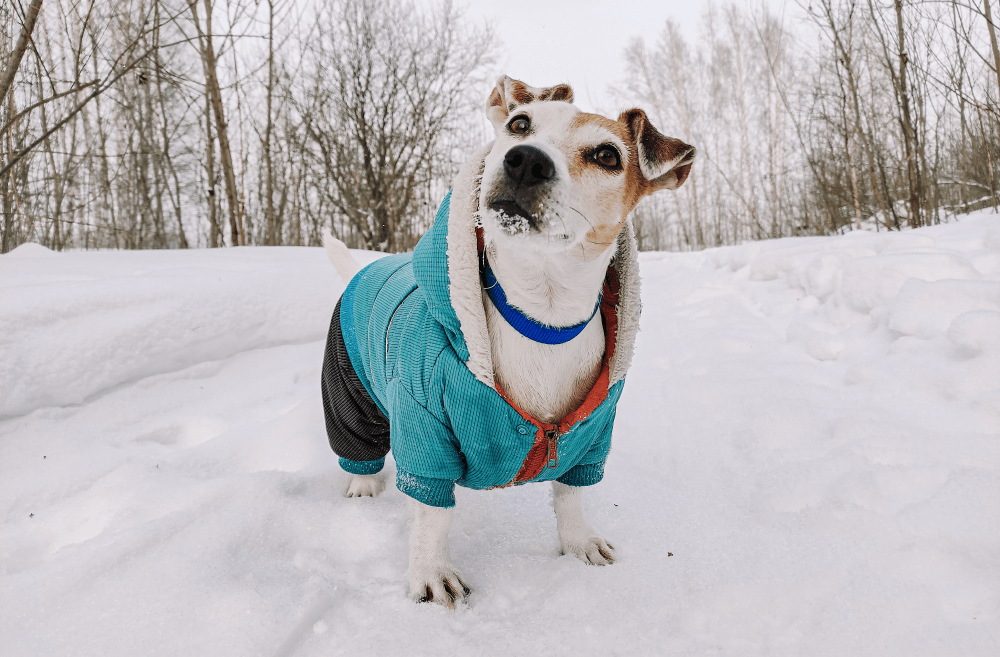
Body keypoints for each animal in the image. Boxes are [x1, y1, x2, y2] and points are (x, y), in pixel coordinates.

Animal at [322, 74, 696, 608]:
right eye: (520, 125)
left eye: (607, 155)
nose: (526, 159)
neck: (541, 317)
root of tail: (368, 267)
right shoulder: (422, 419)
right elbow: (432, 513)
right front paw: (432, 571)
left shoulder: (592, 436)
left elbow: (570, 494)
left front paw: (579, 542)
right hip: (349, 390)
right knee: (360, 446)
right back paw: (362, 485)